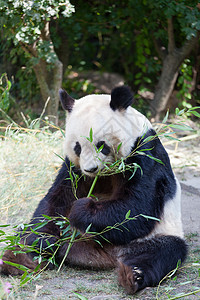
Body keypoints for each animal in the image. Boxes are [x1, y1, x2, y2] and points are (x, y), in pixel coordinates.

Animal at [0, 86, 187, 292]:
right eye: (78, 147)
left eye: (101, 145)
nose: (91, 169)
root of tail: (107, 257)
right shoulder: (74, 169)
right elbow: (56, 200)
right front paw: (42, 238)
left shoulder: (144, 153)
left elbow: (137, 207)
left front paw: (81, 209)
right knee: (25, 236)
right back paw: (19, 260)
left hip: (155, 236)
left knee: (162, 253)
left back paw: (132, 275)